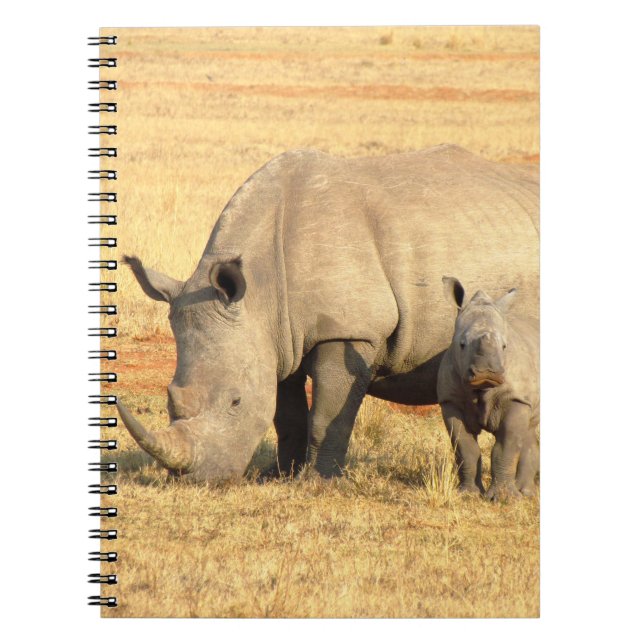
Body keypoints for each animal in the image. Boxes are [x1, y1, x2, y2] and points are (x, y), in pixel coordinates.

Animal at [437, 277, 540, 500]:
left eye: (504, 346)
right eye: (462, 344)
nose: (487, 372)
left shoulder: (515, 397)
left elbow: (506, 446)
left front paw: (504, 499)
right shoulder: (451, 401)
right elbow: (465, 448)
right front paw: (468, 494)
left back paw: (524, 494)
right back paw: (524, 492)